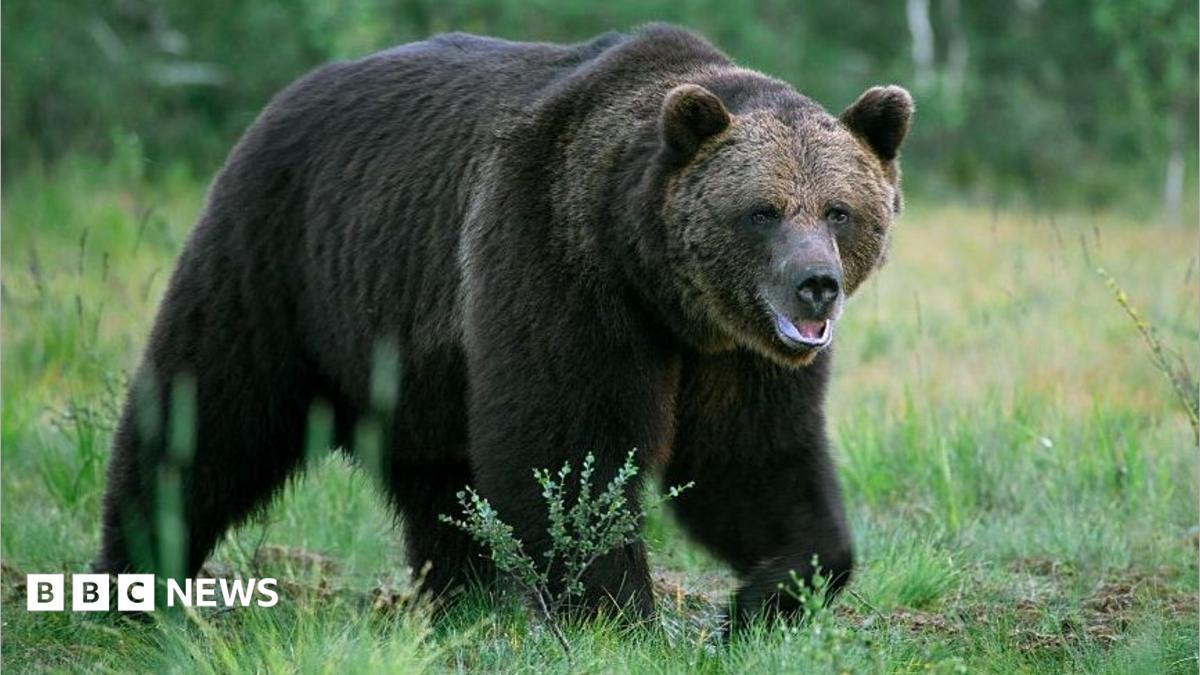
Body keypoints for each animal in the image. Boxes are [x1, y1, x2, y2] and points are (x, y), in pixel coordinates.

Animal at [95, 24, 912, 628]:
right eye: (763, 210)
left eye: (839, 210)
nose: (815, 286)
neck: (658, 284)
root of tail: (287, 94)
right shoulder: (557, 260)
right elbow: (566, 448)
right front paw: (616, 611)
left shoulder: (735, 354)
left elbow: (753, 459)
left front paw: (767, 597)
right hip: (279, 258)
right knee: (210, 411)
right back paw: (137, 576)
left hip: (412, 349)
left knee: (439, 478)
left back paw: (467, 596)